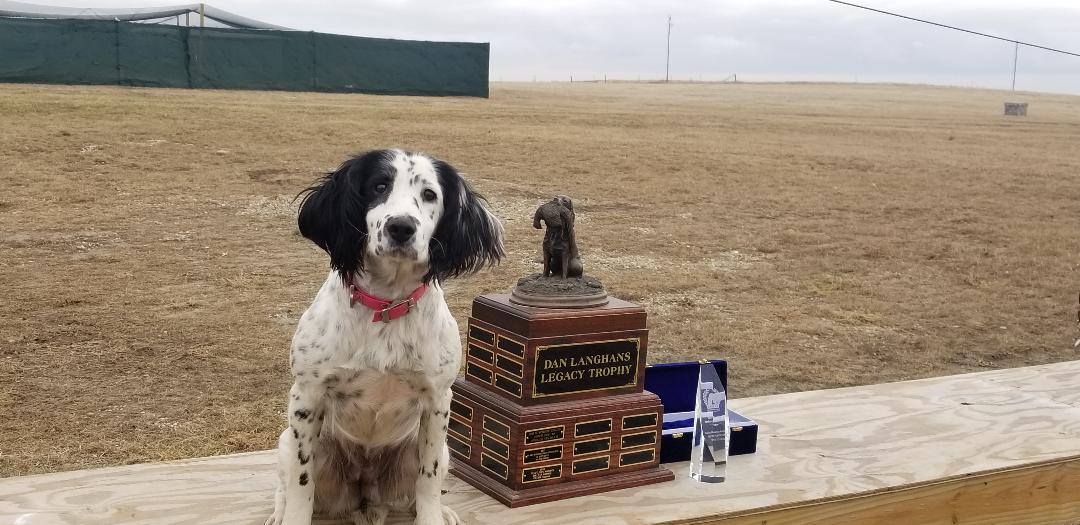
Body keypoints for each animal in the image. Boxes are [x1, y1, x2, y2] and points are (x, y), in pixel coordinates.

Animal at [270, 149, 505, 525]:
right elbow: (301, 481)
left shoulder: (438, 401)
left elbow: (428, 478)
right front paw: (292, 515)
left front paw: (433, 517)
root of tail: (365, 497)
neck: (386, 306)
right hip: (286, 442)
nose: (401, 227)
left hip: (439, 450)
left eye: (429, 194)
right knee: (286, 482)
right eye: (379, 186)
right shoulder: (306, 395)